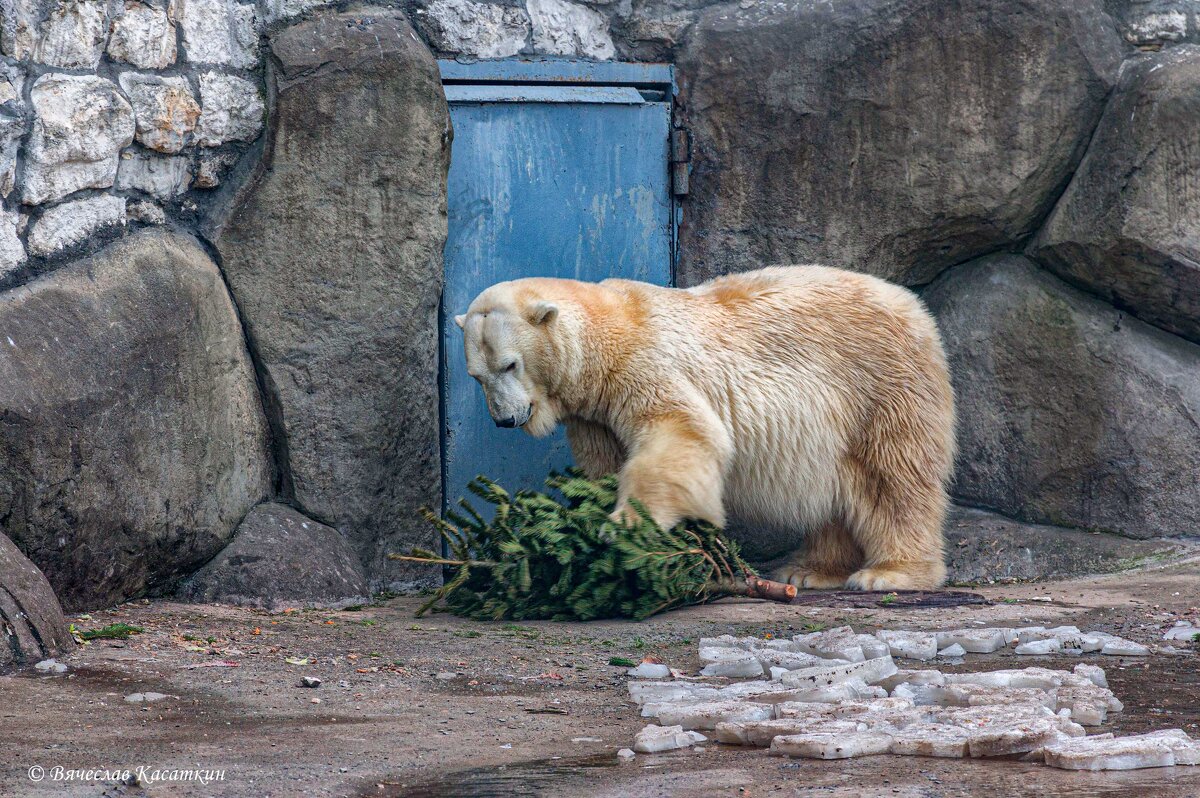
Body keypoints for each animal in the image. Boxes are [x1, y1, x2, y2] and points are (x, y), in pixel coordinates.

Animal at [456, 264, 955, 588]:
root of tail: (914, 308)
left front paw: (625, 528)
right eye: (477, 376)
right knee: (836, 489)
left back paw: (889, 572)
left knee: (893, 477)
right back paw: (810, 570)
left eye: (510, 364)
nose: (504, 419)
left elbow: (683, 433)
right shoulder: (594, 415)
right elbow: (604, 467)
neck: (609, 333)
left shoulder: (647, 366)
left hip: (878, 384)